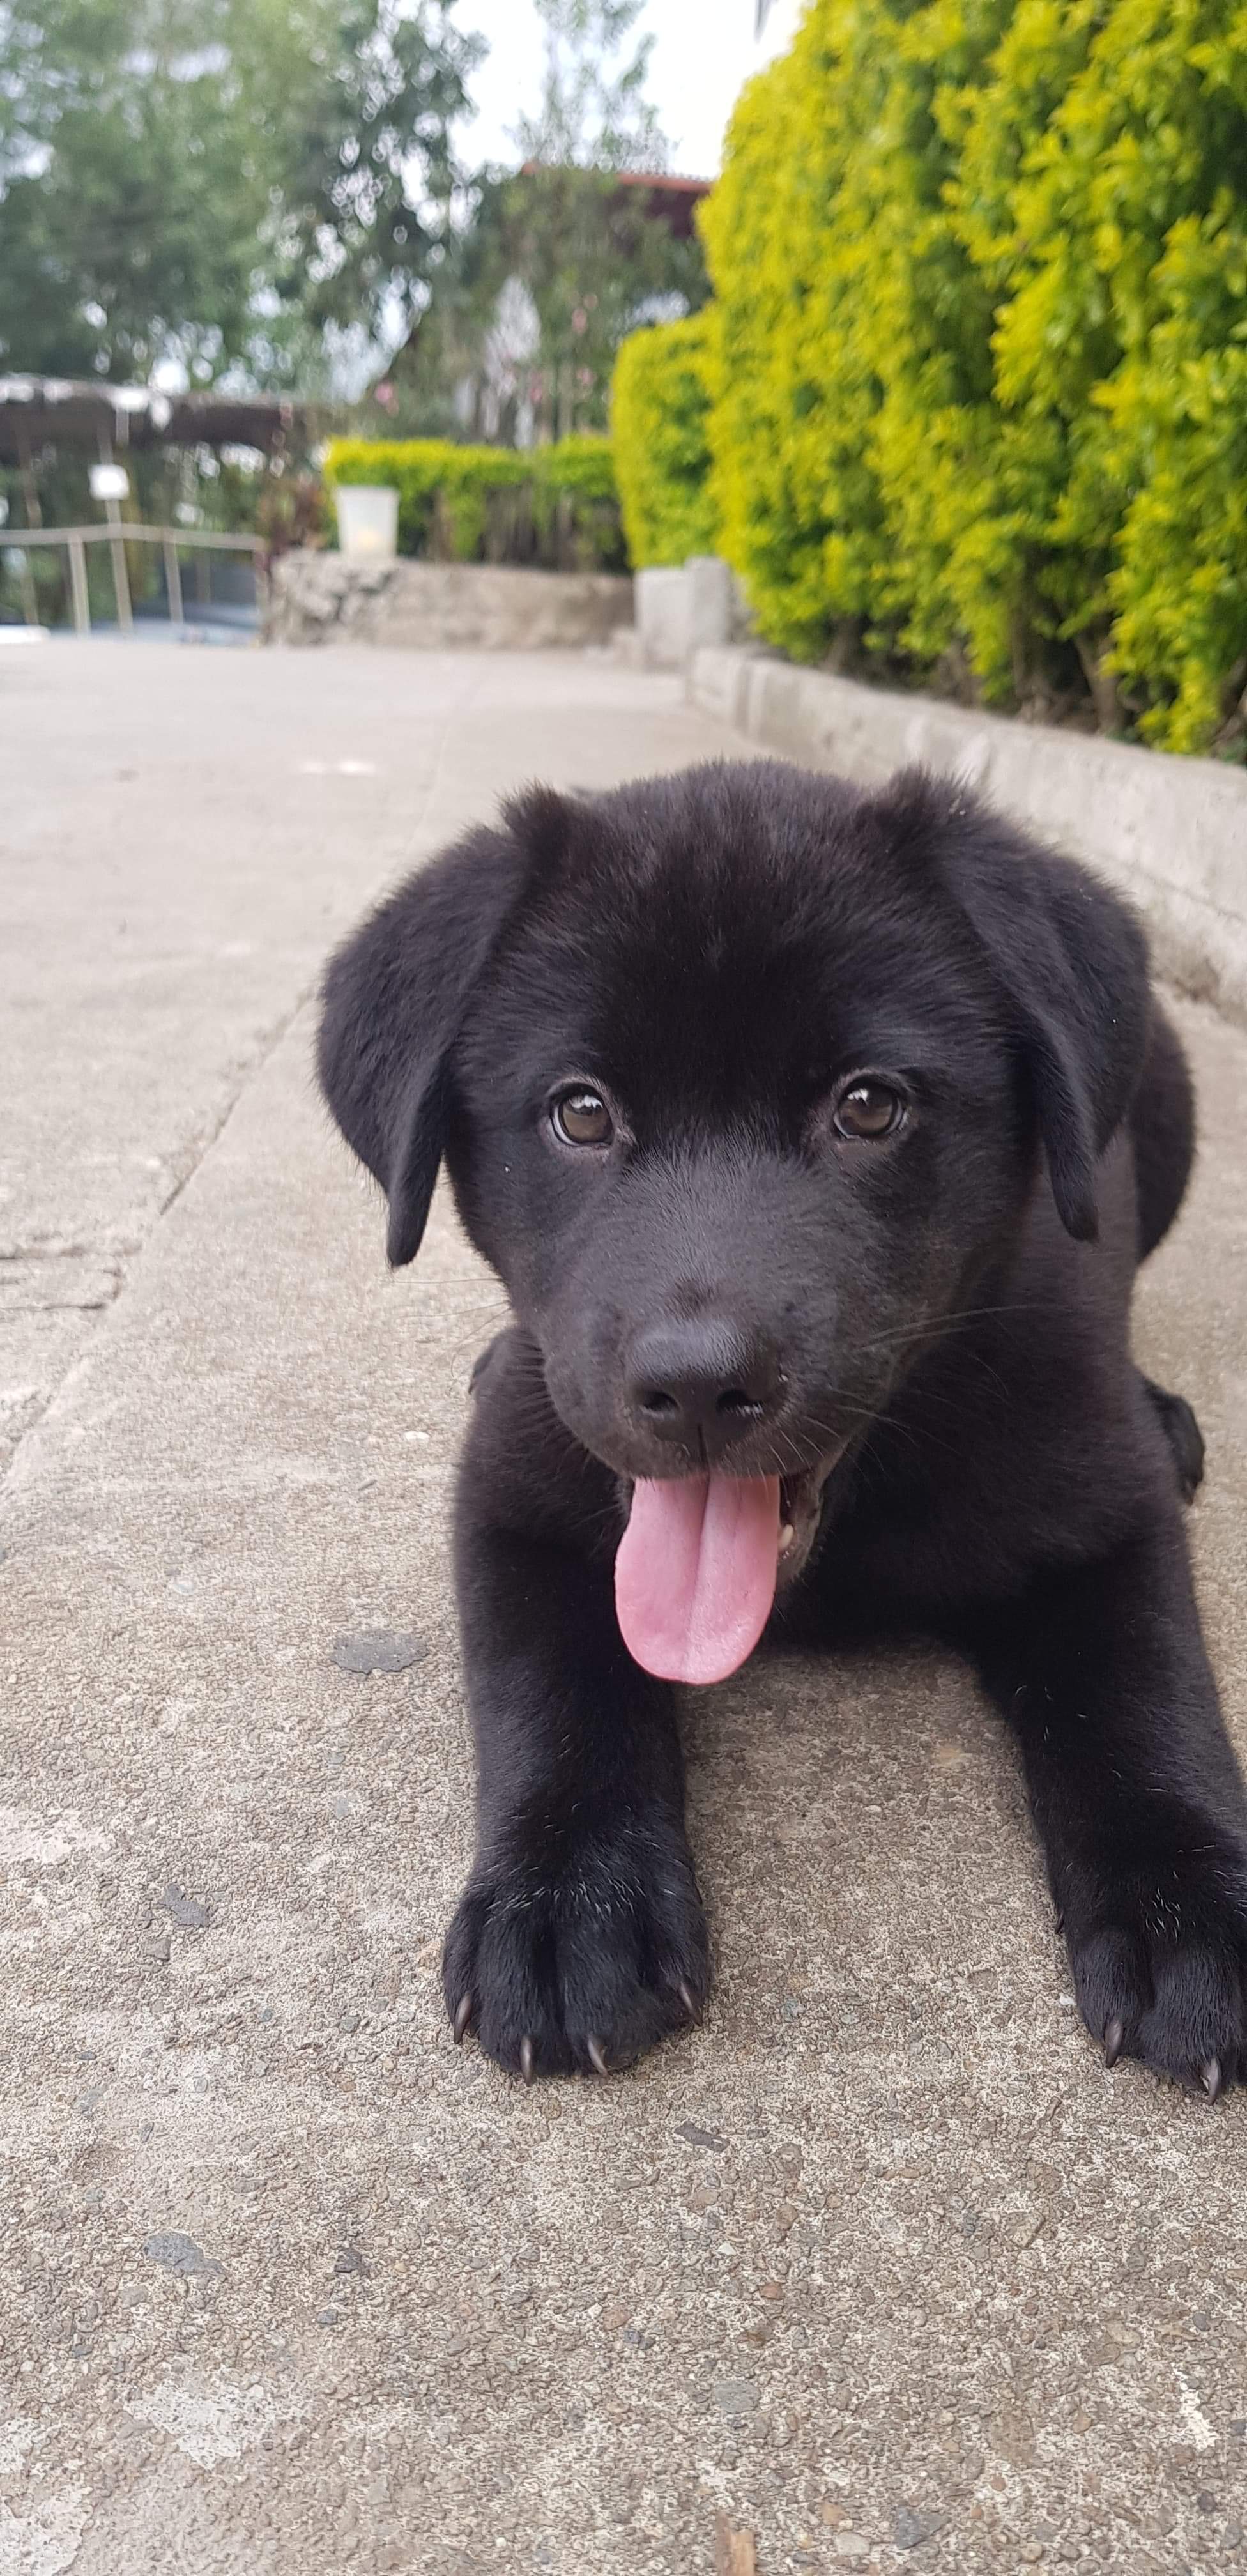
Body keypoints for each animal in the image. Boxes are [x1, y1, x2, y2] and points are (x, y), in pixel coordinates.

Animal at [319, 757, 1246, 2091]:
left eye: (867, 1106)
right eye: (580, 1113)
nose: (700, 1386)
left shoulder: (1102, 1508)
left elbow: (1146, 1694)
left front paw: (1191, 1904)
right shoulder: (511, 1495)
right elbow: (550, 1687)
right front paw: (566, 1901)